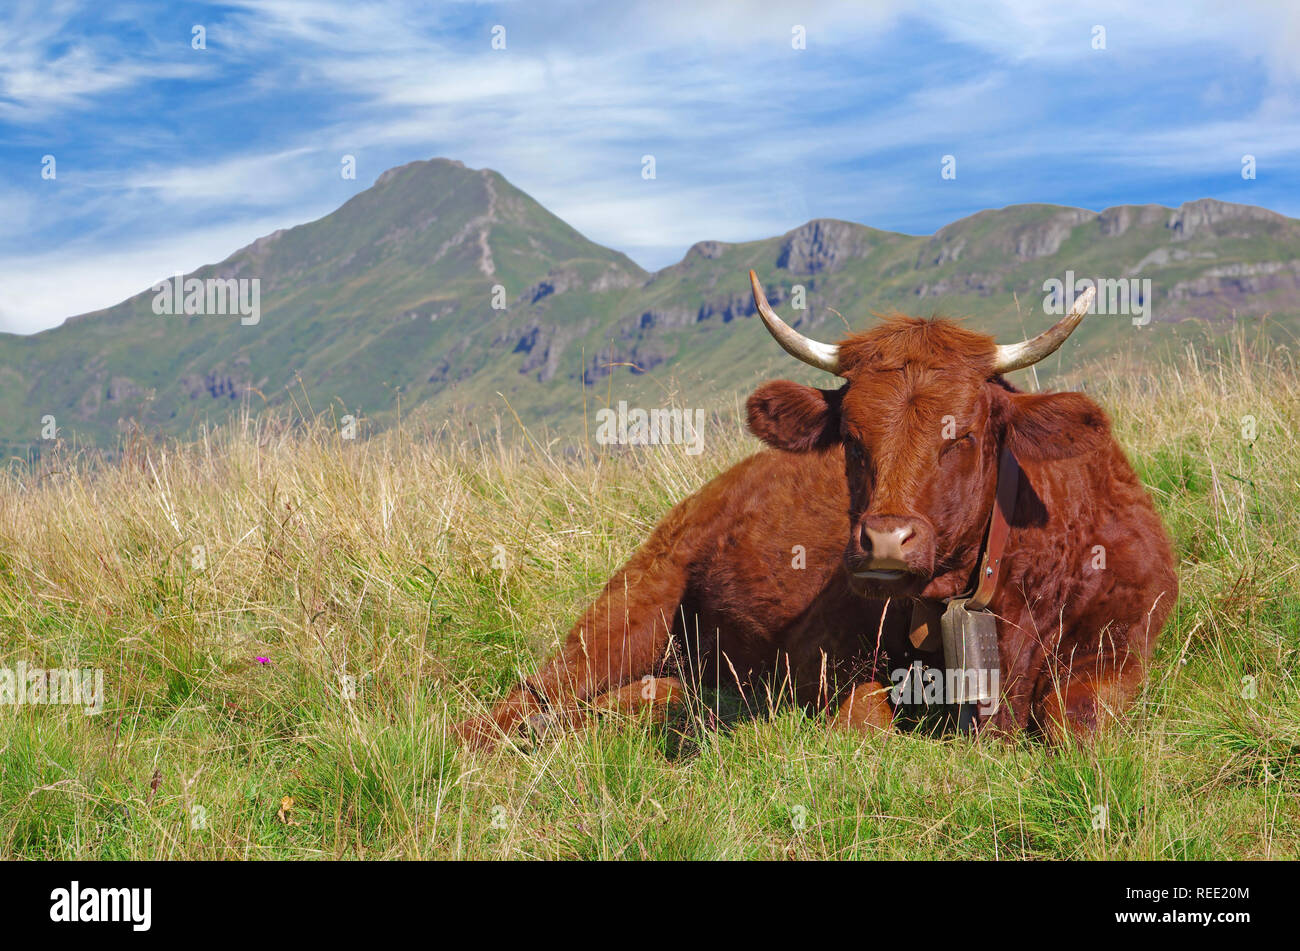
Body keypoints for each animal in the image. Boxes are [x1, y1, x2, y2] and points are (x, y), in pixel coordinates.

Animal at [457, 268, 1180, 748]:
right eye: (851, 439)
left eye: (965, 435)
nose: (885, 541)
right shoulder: (815, 655)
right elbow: (868, 720)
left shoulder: (1125, 639)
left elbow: (1073, 718)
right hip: (630, 604)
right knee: (523, 698)